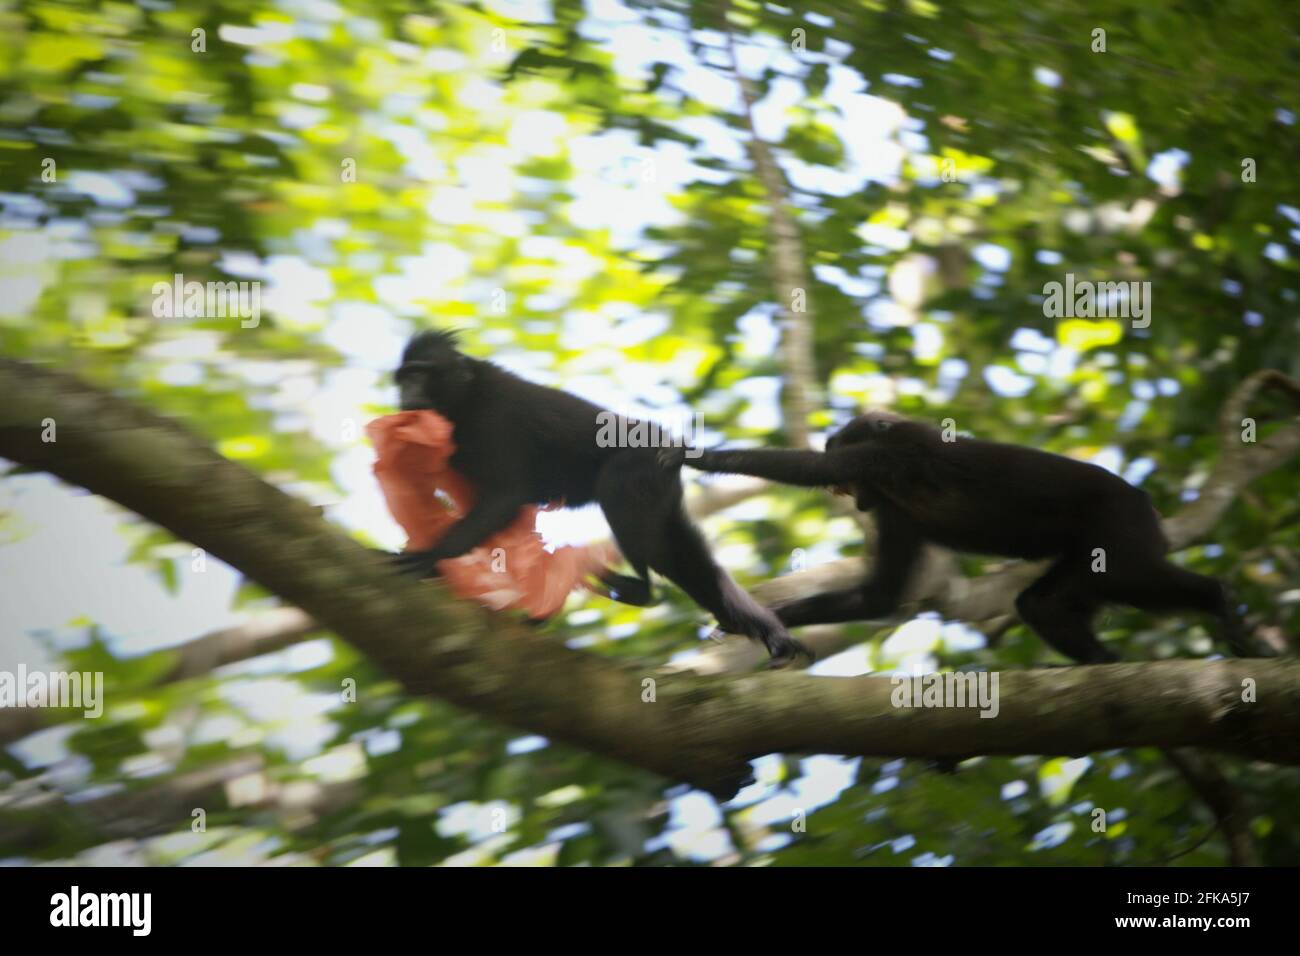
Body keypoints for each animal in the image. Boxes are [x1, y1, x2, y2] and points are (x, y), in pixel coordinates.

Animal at [387, 330, 808, 664]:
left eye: (419, 374)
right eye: (403, 379)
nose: (406, 394)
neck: (466, 396)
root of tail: (668, 445)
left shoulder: (494, 421)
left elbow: (506, 498)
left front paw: (432, 558)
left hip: (637, 468)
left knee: (622, 504)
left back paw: (637, 589)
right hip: (662, 495)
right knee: (687, 560)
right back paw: (769, 632)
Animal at [662, 410, 1255, 664]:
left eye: (845, 485)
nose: (856, 503)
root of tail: (1143, 500)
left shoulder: (884, 458)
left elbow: (800, 467)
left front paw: (699, 455)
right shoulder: (893, 511)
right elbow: (880, 596)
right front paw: (766, 623)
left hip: (1120, 526)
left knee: (1138, 577)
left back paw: (1218, 600)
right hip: (1088, 555)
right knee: (1041, 604)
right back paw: (1104, 664)